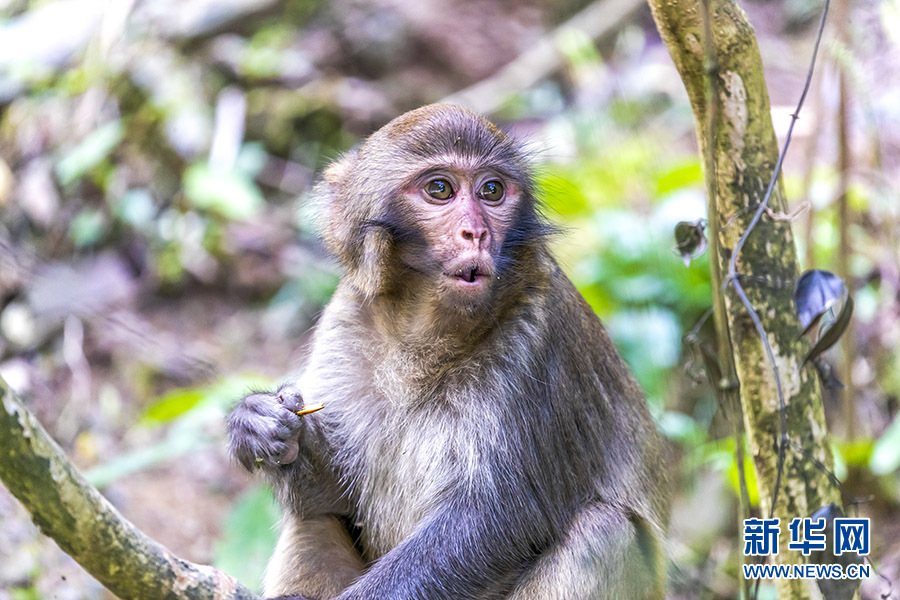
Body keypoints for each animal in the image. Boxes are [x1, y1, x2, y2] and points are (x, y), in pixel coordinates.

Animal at [229, 104, 672, 600]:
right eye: (439, 189)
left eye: (492, 190)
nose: (476, 232)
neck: (424, 336)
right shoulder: (345, 320)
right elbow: (333, 501)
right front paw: (260, 423)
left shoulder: (535, 341)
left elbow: (496, 521)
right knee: (313, 520)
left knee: (605, 532)